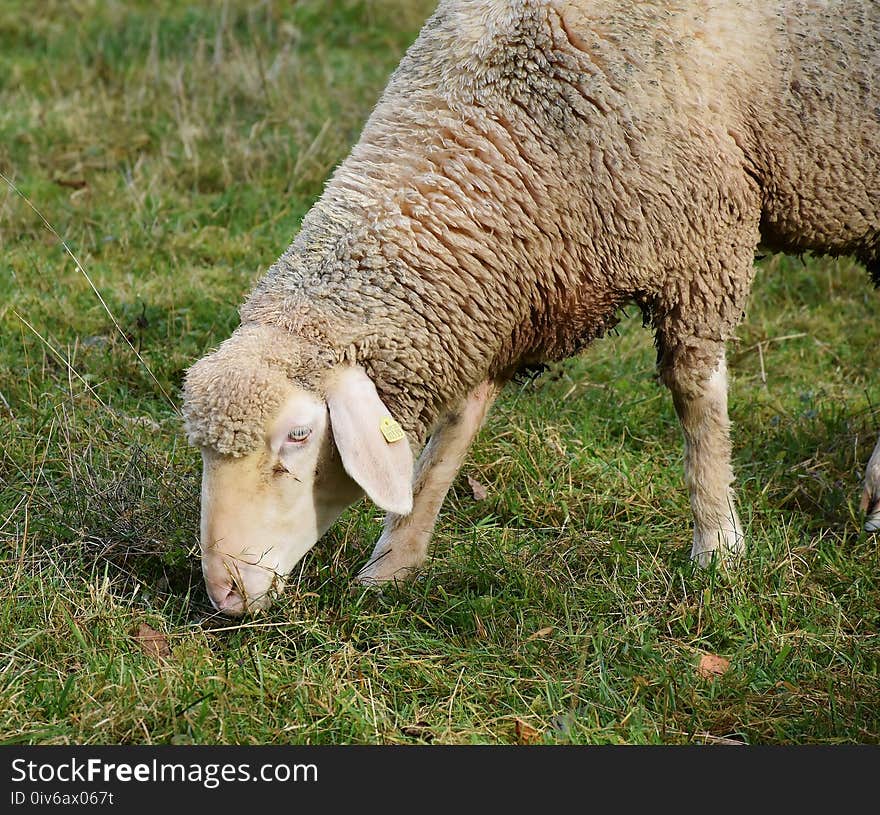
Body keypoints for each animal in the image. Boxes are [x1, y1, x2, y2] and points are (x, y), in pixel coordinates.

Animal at [180, 0, 880, 616]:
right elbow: (454, 431)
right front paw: (393, 563)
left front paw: (718, 548)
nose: (225, 593)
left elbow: (697, 399)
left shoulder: (700, 244)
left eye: (298, 436)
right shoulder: (502, 292)